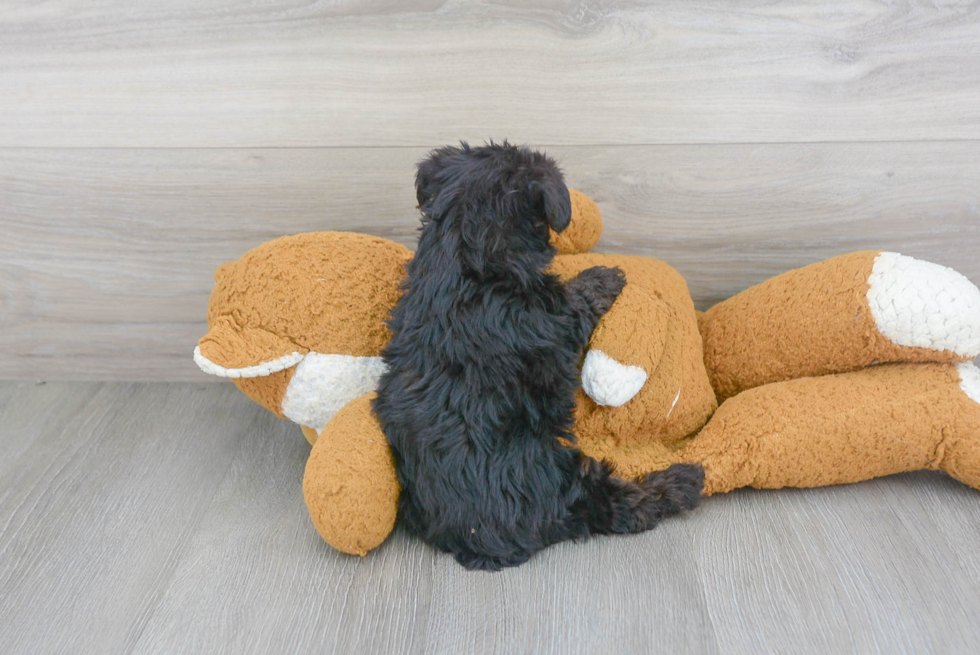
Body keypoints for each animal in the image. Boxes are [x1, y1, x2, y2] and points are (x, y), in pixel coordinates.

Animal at [374, 142, 704, 568]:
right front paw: (604, 276)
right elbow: (577, 299)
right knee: (625, 506)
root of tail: (482, 541)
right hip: (566, 479)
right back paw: (685, 480)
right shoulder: (552, 316)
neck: (463, 253)